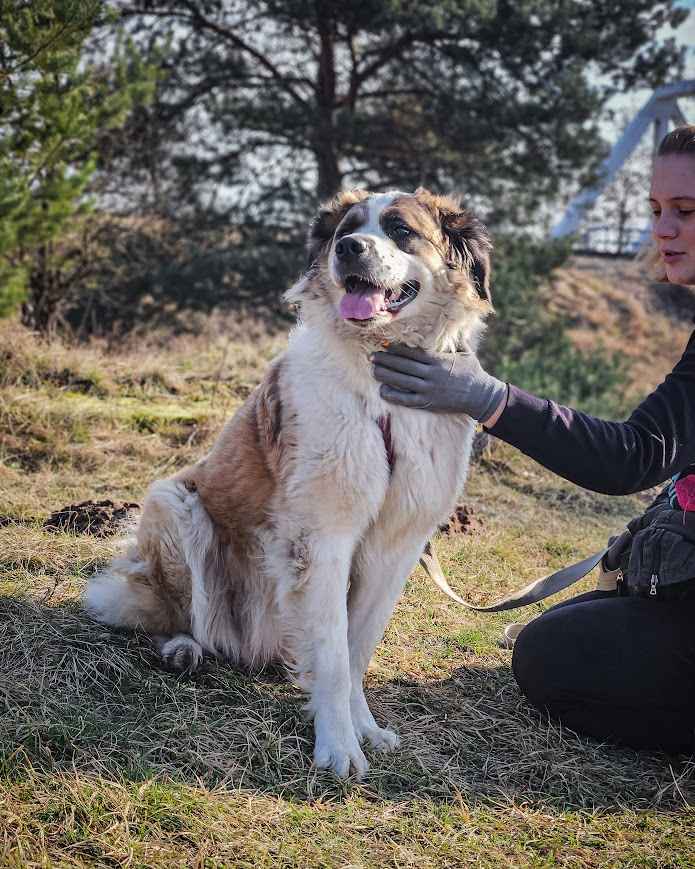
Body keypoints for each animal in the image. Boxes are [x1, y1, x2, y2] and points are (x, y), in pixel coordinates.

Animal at [83, 186, 494, 776]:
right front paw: (338, 746)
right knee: (171, 612)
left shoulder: (397, 545)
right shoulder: (323, 538)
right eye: (347, 228)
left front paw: (363, 728)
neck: (381, 380)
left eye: (400, 230)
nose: (348, 248)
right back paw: (183, 647)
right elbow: (334, 653)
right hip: (174, 507)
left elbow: (356, 648)